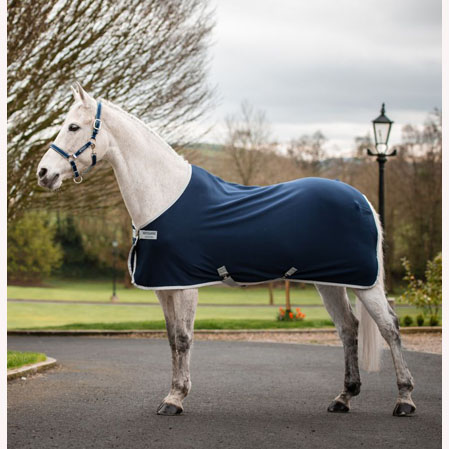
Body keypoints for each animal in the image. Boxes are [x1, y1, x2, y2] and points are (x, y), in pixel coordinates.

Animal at [36, 83, 415, 417]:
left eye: (73, 126)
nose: (43, 173)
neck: (164, 194)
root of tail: (362, 199)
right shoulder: (164, 287)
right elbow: (171, 340)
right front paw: (172, 394)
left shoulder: (185, 284)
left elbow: (184, 338)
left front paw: (176, 399)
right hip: (331, 283)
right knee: (348, 328)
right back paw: (344, 398)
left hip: (366, 283)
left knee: (390, 328)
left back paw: (405, 400)